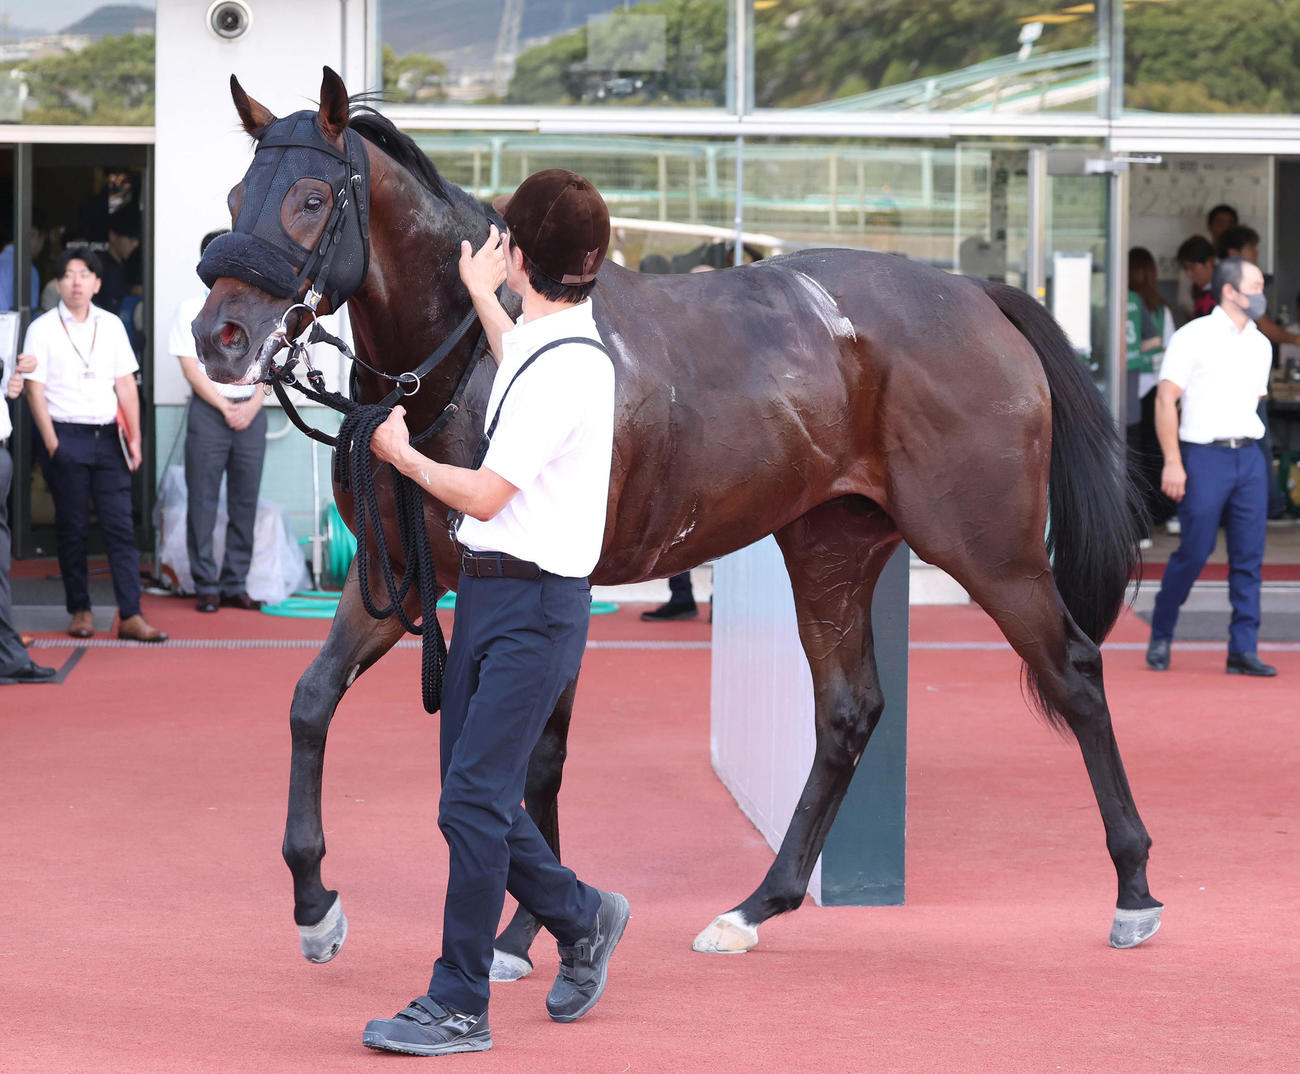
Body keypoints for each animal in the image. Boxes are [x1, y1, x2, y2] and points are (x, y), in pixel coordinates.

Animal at [192, 67, 1163, 977]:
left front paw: (523, 931)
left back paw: (1135, 887)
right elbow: (312, 701)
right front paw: (316, 904)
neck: (468, 359)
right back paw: (756, 906)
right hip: (831, 547)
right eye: (236, 198)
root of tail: (974, 294)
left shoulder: (552, 581)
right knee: (848, 710)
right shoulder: (395, 578)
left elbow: (535, 757)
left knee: (1076, 674)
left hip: (988, 548)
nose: (219, 338)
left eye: (311, 199)